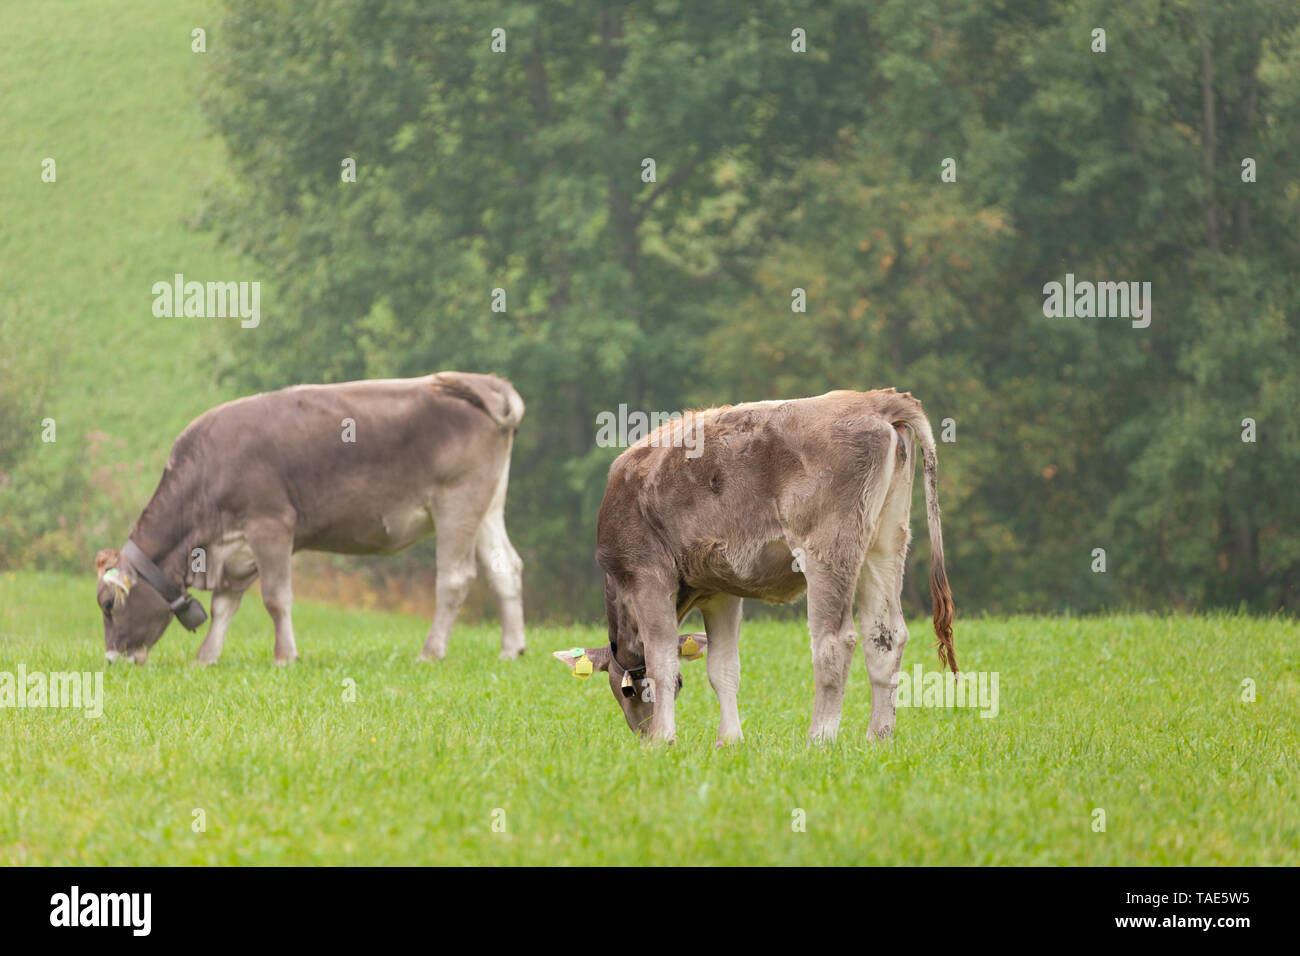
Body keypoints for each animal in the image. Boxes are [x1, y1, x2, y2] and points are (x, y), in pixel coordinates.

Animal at [94, 372, 526, 665]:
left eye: (108, 604)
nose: (112, 660)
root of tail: (485, 382)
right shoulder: (235, 547)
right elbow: (224, 606)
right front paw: (206, 657)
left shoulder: (270, 523)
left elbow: (276, 598)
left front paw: (284, 656)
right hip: (487, 506)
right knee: (505, 569)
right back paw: (511, 649)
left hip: (457, 500)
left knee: (455, 578)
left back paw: (431, 652)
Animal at [553, 388, 955, 744]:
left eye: (628, 693)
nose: (642, 734)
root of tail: (871, 399)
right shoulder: (720, 591)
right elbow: (723, 669)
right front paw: (730, 740)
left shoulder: (647, 576)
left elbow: (661, 662)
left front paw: (664, 740)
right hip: (885, 543)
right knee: (884, 636)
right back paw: (878, 738)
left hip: (828, 547)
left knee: (835, 641)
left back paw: (819, 738)